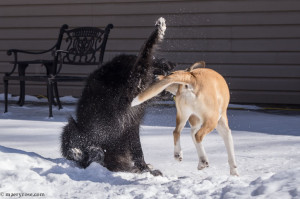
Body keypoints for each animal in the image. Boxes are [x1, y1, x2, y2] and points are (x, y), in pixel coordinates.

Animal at [61, 17, 173, 176]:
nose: (172, 93)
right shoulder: (135, 81)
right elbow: (146, 50)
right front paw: (159, 29)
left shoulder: (132, 124)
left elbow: (138, 151)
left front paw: (145, 169)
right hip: (71, 126)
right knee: (81, 156)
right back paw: (85, 151)